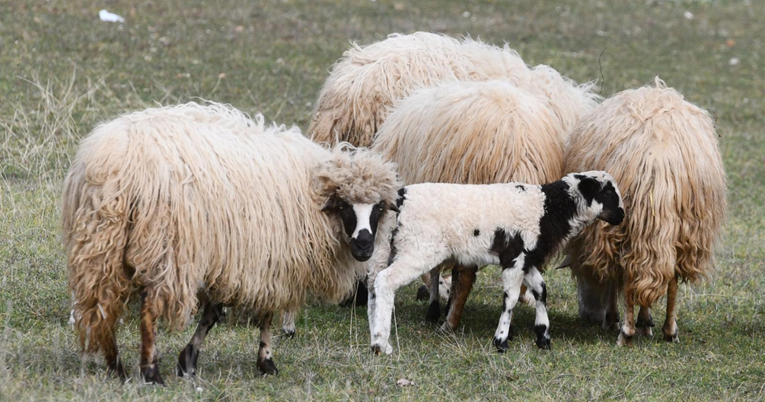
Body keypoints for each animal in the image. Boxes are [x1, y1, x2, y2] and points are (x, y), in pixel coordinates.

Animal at [62, 101, 400, 384]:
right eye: (344, 206)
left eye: (379, 209)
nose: (364, 247)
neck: (311, 189)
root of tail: (115, 160)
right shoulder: (270, 259)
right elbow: (265, 313)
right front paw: (266, 362)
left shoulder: (230, 260)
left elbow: (212, 314)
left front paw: (188, 362)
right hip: (166, 248)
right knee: (148, 311)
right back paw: (150, 372)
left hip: (103, 241)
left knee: (103, 305)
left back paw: (116, 366)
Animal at [368, 171, 624, 354]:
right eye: (608, 193)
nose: (622, 216)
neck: (548, 209)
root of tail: (400, 198)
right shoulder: (515, 257)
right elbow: (510, 298)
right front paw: (501, 341)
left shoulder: (526, 258)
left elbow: (541, 290)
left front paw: (543, 337)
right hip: (417, 248)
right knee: (385, 281)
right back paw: (382, 344)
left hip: (389, 246)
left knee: (374, 284)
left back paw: (375, 336)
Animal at [564, 77, 724, 346]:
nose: (589, 316)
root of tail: (656, 161)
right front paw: (644, 322)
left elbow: (615, 278)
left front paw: (618, 320)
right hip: (677, 227)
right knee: (668, 275)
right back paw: (669, 330)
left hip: (626, 222)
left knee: (630, 270)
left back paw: (627, 331)